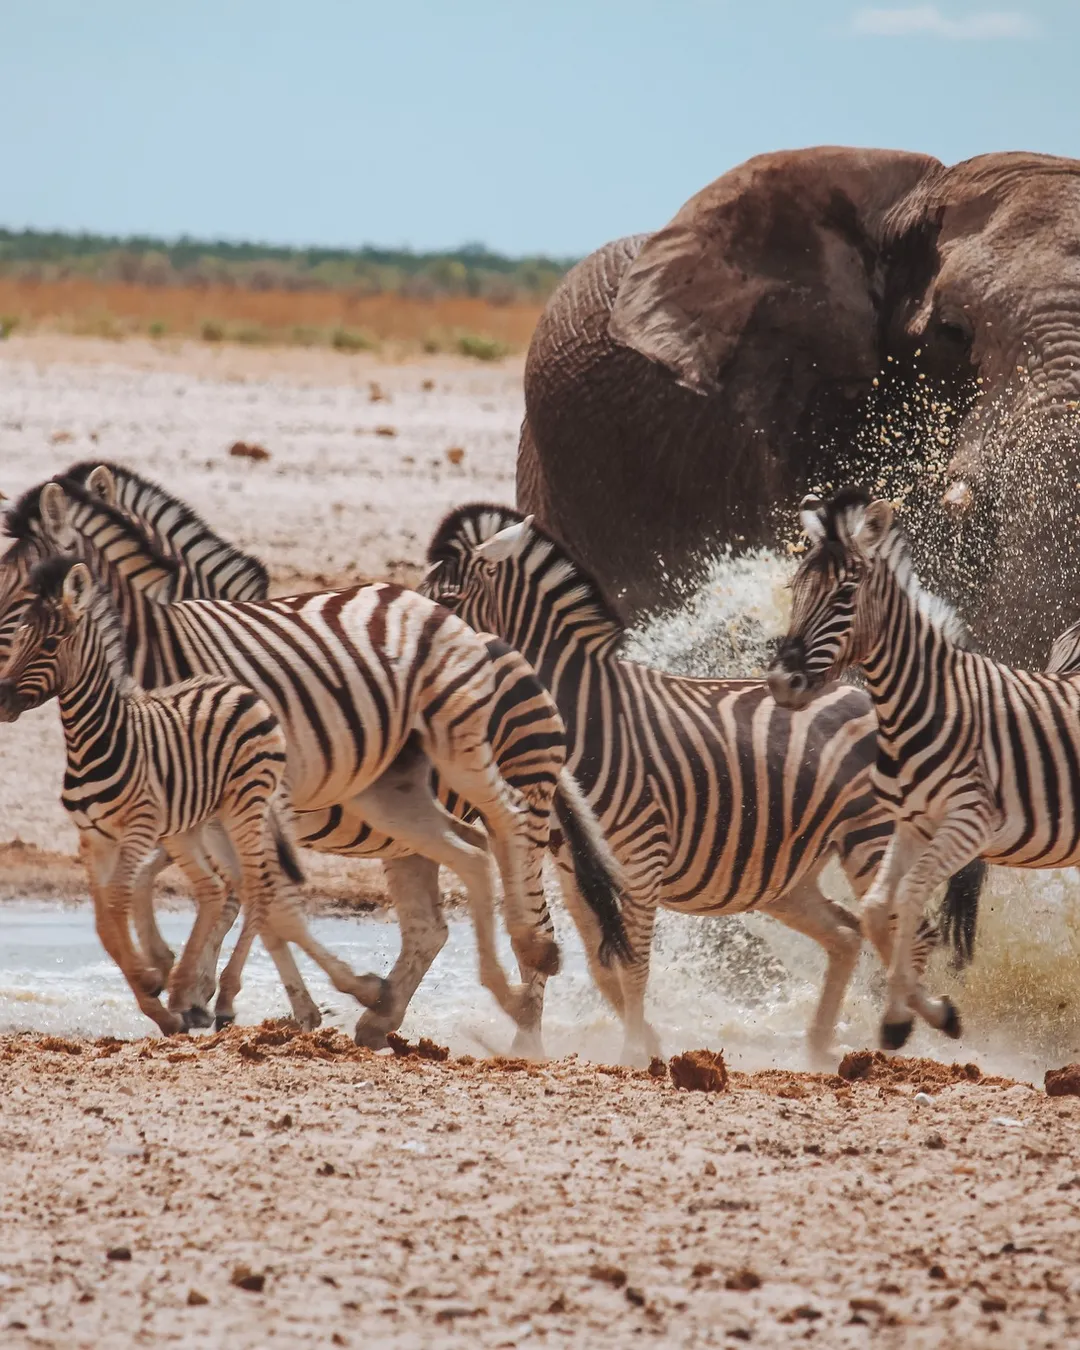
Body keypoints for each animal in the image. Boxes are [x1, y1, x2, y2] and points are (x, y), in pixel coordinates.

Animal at [0, 553, 388, 1036]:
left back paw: (222, 997)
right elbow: (105, 922)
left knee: (257, 886)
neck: (96, 738)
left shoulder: (139, 827)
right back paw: (190, 988)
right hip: (197, 821)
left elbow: (119, 900)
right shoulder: (92, 836)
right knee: (215, 889)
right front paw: (158, 998)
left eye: (52, 642)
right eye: (19, 635)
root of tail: (238, 685)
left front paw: (151, 980)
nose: (1, 699)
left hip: (244, 806)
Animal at [418, 504, 988, 1063]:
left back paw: (898, 1037)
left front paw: (634, 1052)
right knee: (847, 933)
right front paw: (620, 1041)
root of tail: (872, 701)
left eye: (448, 599)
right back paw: (819, 1046)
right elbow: (597, 964)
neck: (587, 713)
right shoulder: (573, 869)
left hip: (871, 839)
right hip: (788, 871)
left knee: (910, 933)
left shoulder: (641, 856)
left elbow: (631, 964)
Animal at [766, 491, 1080, 1047]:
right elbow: (876, 909)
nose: (783, 681)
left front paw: (897, 1016)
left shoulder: (971, 822)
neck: (922, 702)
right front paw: (929, 1011)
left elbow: (910, 898)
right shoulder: (912, 824)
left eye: (845, 595)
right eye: (794, 589)